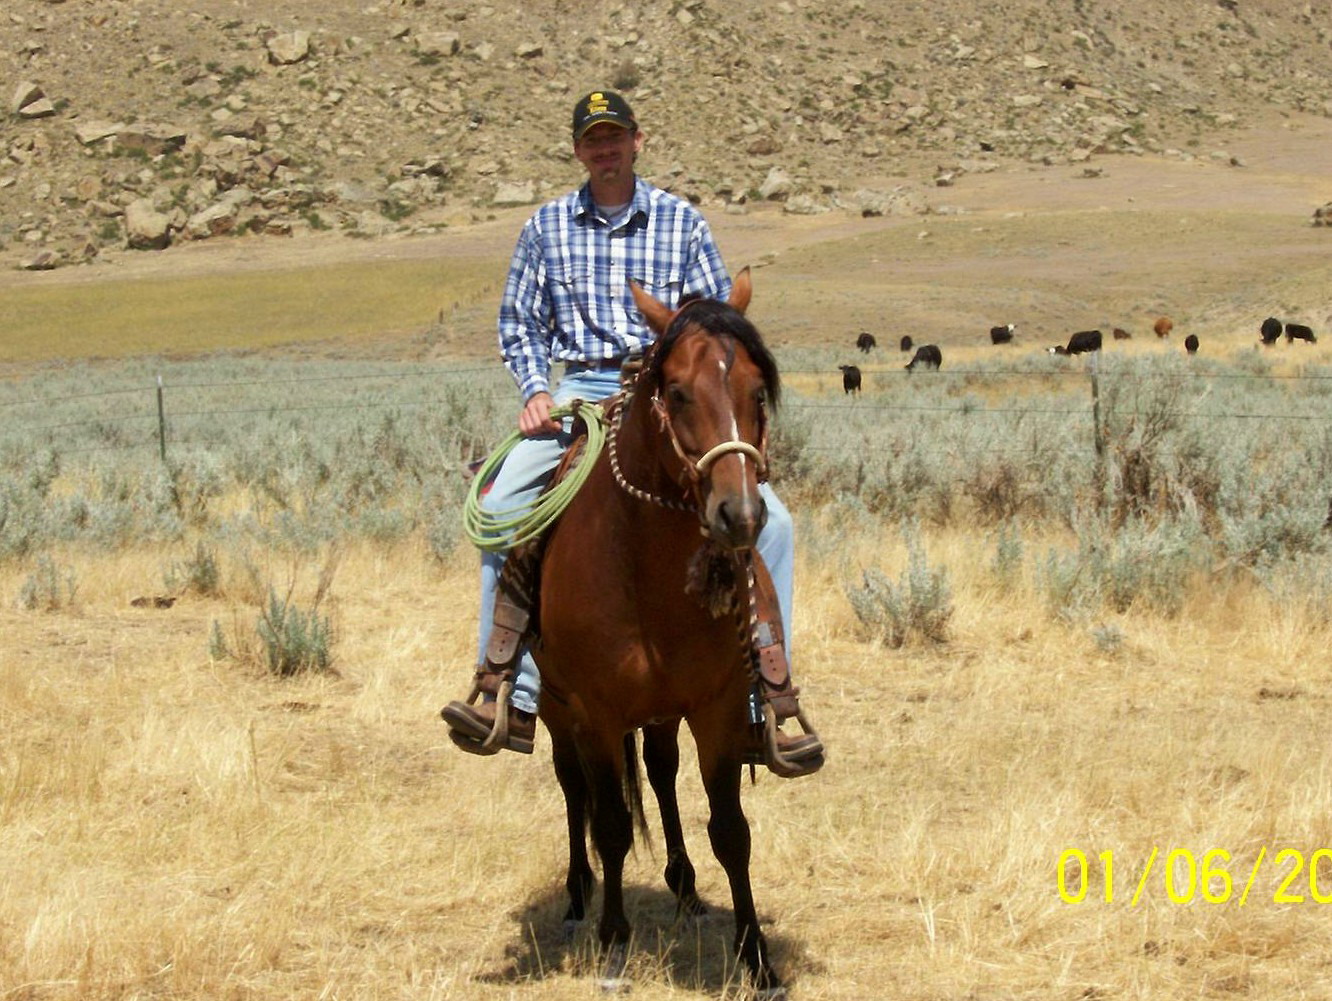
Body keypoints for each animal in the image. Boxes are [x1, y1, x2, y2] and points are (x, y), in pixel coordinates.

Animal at [532, 270, 788, 995]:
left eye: (756, 390)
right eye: (676, 392)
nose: (739, 514)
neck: (644, 569)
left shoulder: (717, 706)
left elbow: (730, 829)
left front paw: (756, 956)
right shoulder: (594, 711)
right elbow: (613, 825)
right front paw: (615, 943)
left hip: (663, 711)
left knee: (662, 770)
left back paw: (684, 885)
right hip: (558, 710)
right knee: (575, 790)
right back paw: (577, 897)